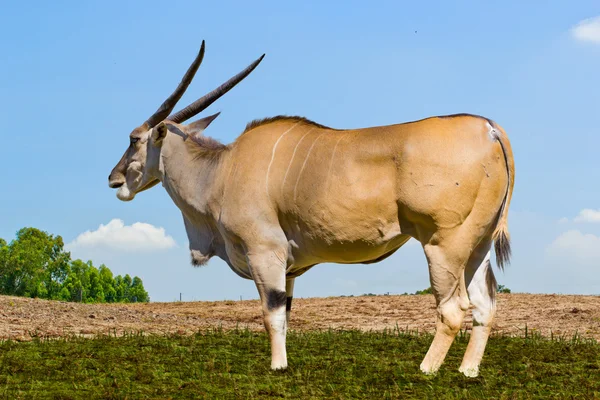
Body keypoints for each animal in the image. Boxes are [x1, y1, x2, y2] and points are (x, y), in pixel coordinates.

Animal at [108, 42, 516, 376]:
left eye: (134, 139)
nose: (115, 179)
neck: (222, 169)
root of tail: (490, 129)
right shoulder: (287, 267)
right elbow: (286, 314)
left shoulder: (265, 254)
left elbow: (271, 313)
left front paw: (277, 368)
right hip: (475, 249)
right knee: (485, 306)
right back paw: (467, 372)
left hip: (443, 246)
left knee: (453, 309)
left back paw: (425, 370)